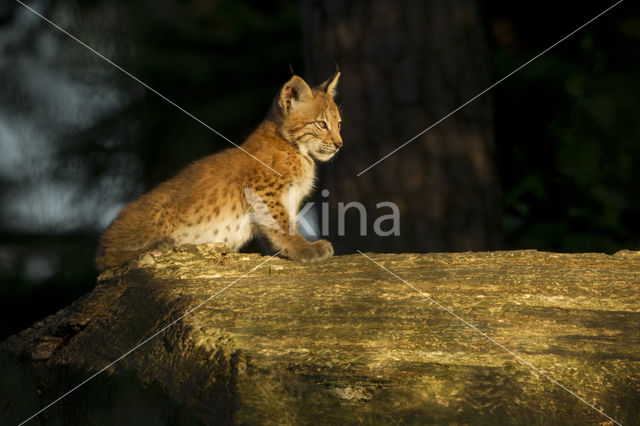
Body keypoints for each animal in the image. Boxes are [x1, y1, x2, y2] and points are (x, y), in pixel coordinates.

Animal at [95, 72, 342, 270]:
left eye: (339, 124)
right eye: (321, 124)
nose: (339, 144)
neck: (297, 148)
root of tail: (104, 237)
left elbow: (275, 229)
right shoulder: (264, 191)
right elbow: (283, 224)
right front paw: (305, 248)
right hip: (160, 210)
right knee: (105, 259)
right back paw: (162, 244)